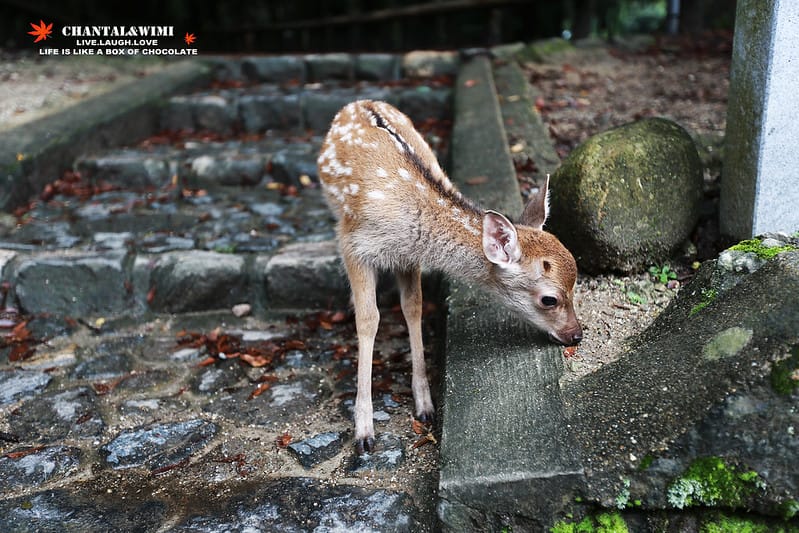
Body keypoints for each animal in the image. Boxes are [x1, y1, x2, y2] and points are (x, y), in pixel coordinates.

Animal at [317, 100, 582, 454]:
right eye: (549, 299)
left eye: (576, 285)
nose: (576, 335)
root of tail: (359, 102)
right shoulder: (354, 246)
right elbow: (368, 320)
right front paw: (364, 431)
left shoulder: (408, 256)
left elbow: (413, 308)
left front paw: (426, 406)